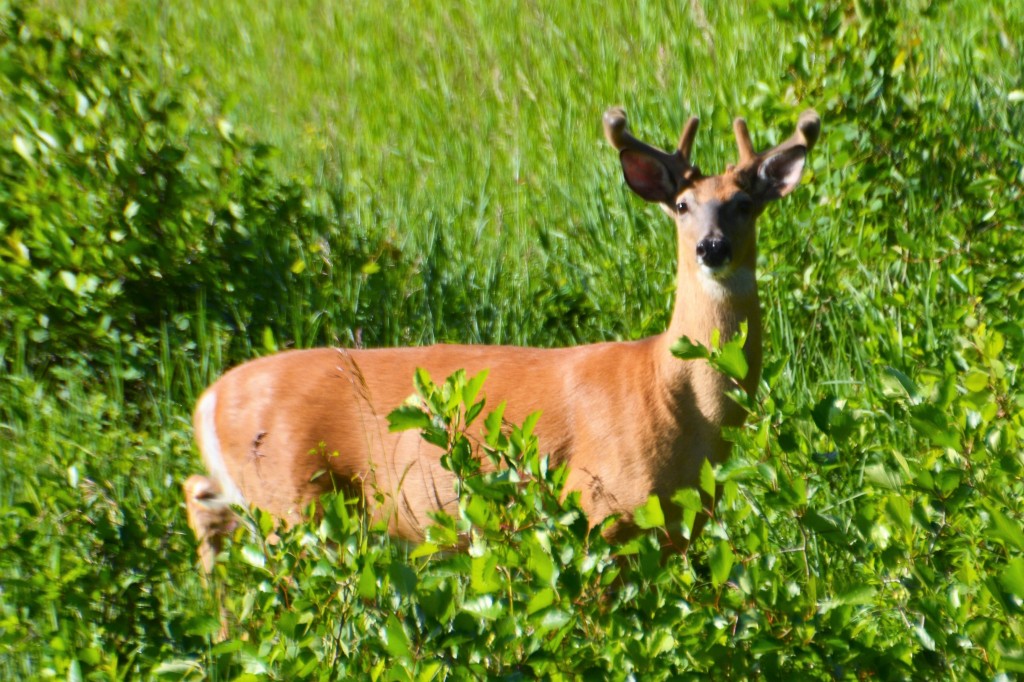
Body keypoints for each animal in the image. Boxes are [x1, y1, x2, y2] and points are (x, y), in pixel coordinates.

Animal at [186, 103, 823, 569]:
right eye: (683, 205)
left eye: (745, 203)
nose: (711, 247)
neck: (676, 399)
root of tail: (208, 399)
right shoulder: (596, 511)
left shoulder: (681, 528)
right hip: (296, 499)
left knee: (203, 500)